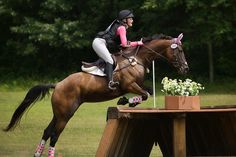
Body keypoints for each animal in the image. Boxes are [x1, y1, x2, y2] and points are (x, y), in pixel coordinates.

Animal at [3, 32, 189, 156]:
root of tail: (58, 84)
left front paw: (126, 101)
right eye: (179, 50)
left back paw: (37, 153)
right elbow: (144, 94)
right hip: (66, 113)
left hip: (59, 113)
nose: (185, 68)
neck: (137, 59)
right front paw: (124, 101)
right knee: (55, 134)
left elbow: (148, 92)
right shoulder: (130, 85)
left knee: (47, 131)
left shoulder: (137, 85)